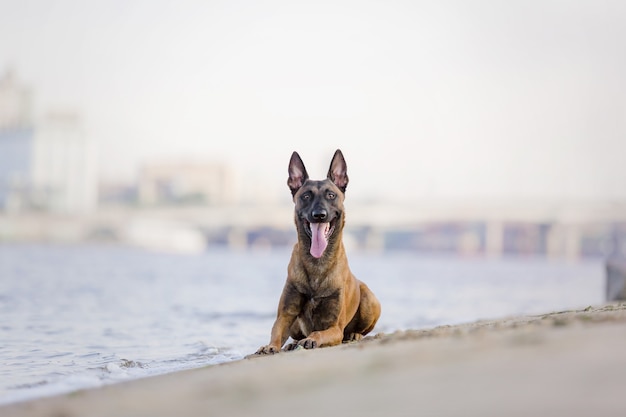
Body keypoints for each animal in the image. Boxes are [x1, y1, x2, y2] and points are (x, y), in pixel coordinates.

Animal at [254, 150, 380, 354]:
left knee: (360, 330)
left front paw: (312, 339)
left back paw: (354, 335)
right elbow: (277, 332)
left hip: (369, 300)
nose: (319, 215)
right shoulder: (285, 315)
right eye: (306, 196)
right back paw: (293, 344)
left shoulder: (335, 328)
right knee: (295, 336)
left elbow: (319, 333)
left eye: (331, 195)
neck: (317, 264)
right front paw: (270, 346)